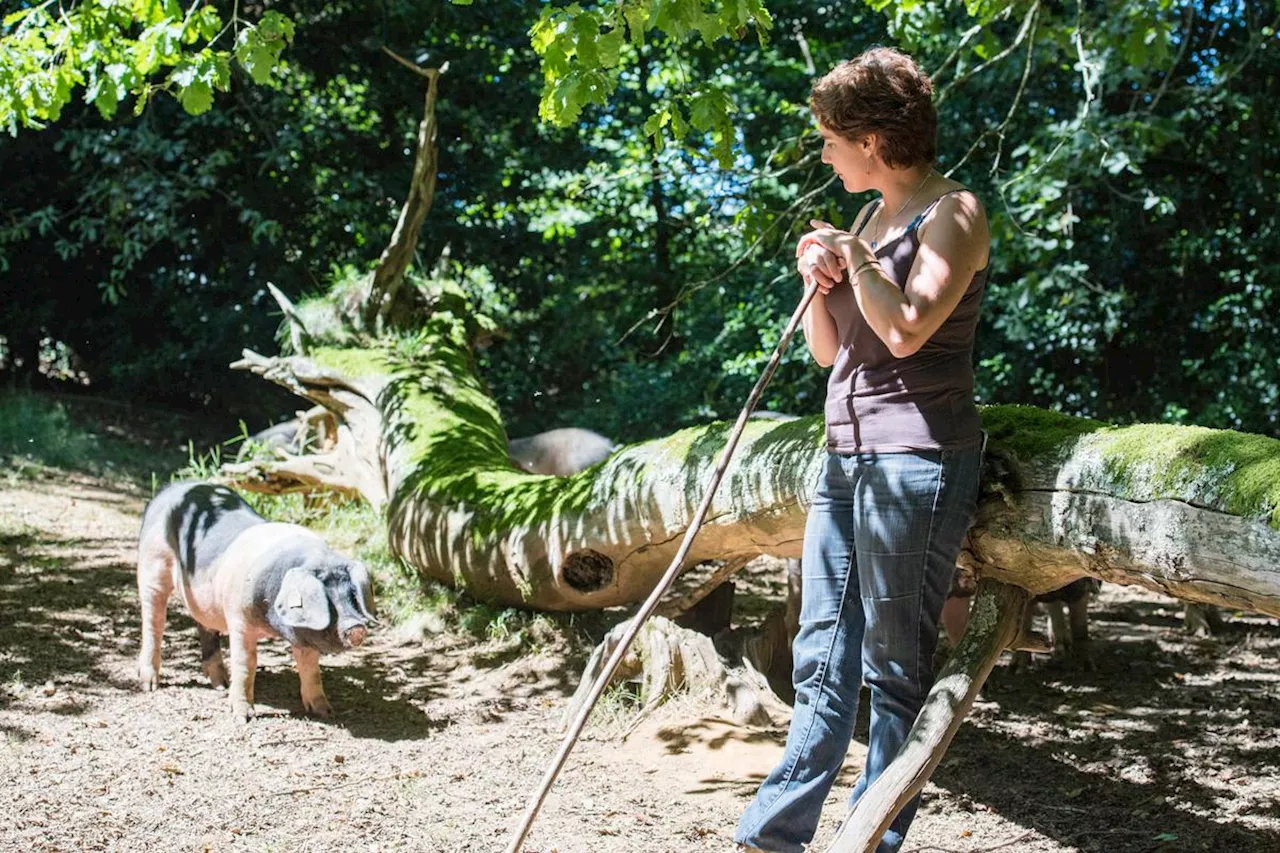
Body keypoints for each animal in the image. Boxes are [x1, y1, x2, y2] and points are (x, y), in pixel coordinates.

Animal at [141, 479, 378, 717]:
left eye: (352, 596)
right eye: (325, 600)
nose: (356, 627)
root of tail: (171, 489)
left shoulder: (303, 632)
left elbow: (310, 667)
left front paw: (325, 712)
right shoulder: (238, 617)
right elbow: (246, 663)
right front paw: (243, 717)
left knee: (204, 626)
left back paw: (221, 684)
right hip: (153, 565)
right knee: (154, 621)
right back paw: (150, 685)